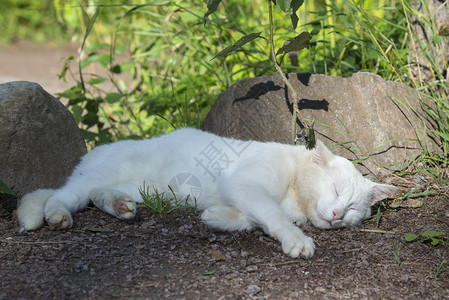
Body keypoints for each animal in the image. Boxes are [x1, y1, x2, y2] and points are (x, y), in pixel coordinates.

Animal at [16, 127, 396, 258]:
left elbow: (253, 217)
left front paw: (217, 217)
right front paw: (297, 240)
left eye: (352, 208)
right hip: (109, 171)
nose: (336, 215)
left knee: (95, 194)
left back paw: (121, 206)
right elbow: (272, 215)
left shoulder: (242, 195)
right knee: (65, 193)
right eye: (334, 189)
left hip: (139, 188)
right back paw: (56, 215)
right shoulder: (243, 184)